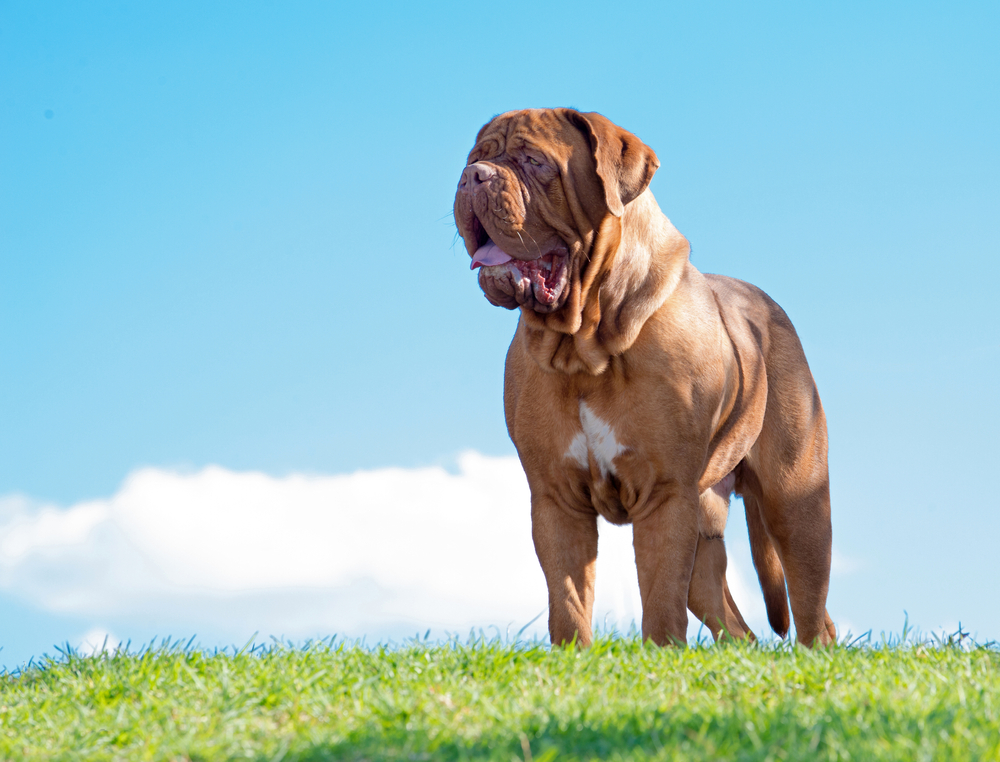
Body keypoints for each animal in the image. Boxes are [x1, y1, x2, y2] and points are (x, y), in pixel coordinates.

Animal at [454, 110, 836, 648]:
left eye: (534, 161)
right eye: (475, 158)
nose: (473, 177)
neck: (586, 344)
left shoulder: (664, 493)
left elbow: (659, 596)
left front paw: (661, 655)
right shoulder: (556, 498)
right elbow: (568, 600)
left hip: (797, 502)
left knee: (811, 608)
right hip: (707, 523)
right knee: (737, 625)